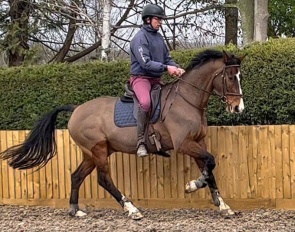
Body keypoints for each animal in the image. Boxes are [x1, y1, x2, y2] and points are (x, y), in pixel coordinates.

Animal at [0, 49, 246, 219]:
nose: (238, 108)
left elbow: (209, 168)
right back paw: (131, 209)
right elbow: (210, 162)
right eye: (230, 77)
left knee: (77, 176)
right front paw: (192, 185)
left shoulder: (198, 141)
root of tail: (76, 109)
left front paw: (223, 205)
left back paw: (75, 210)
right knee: (103, 179)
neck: (187, 100)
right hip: (98, 150)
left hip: (92, 153)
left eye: (240, 77)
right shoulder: (184, 143)